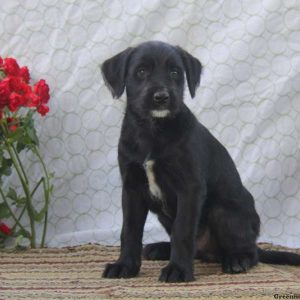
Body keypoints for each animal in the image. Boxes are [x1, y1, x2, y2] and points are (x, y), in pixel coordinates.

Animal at [101, 41, 300, 282]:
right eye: (141, 71)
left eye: (175, 72)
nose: (162, 97)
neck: (152, 130)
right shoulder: (132, 188)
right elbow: (129, 230)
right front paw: (125, 266)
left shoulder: (189, 188)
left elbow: (183, 230)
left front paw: (178, 269)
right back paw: (160, 248)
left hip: (222, 211)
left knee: (251, 252)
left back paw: (237, 260)